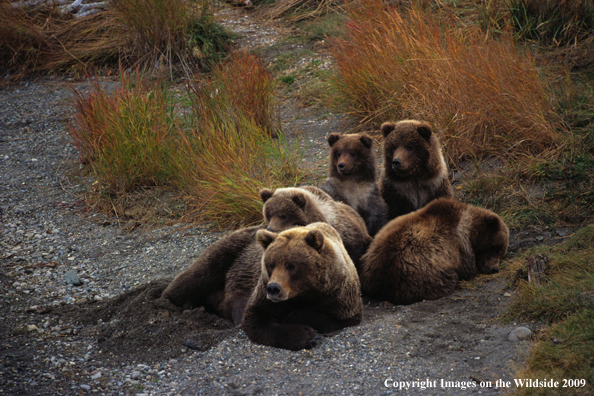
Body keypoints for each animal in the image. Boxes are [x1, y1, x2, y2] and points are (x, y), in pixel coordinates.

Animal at [356, 200, 508, 304]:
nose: (494, 268)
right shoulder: (461, 248)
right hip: (420, 272)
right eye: (496, 248)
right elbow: (468, 269)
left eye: (500, 252)